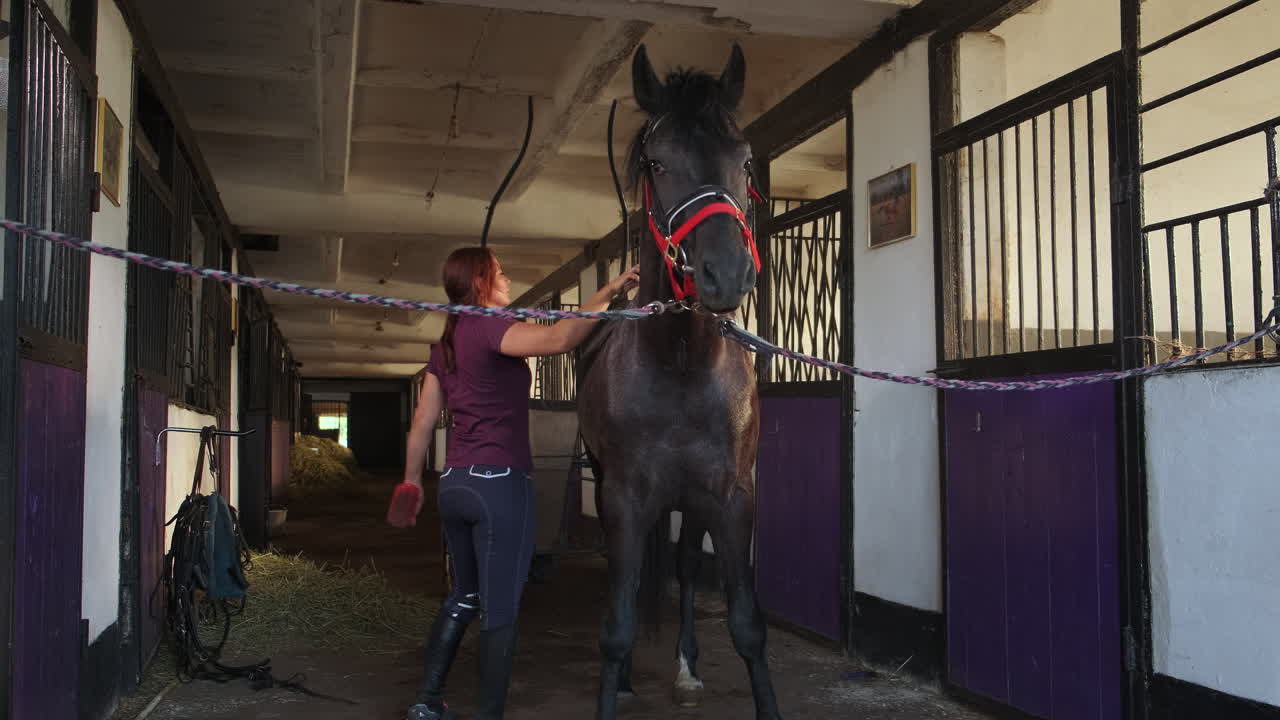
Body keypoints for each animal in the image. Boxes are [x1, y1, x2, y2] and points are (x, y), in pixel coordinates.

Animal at [576, 43, 781, 720]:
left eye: (744, 161)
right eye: (657, 162)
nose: (725, 274)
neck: (683, 365)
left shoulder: (731, 495)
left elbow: (747, 625)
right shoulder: (623, 495)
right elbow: (617, 623)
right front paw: (614, 684)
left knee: (688, 566)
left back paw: (686, 668)